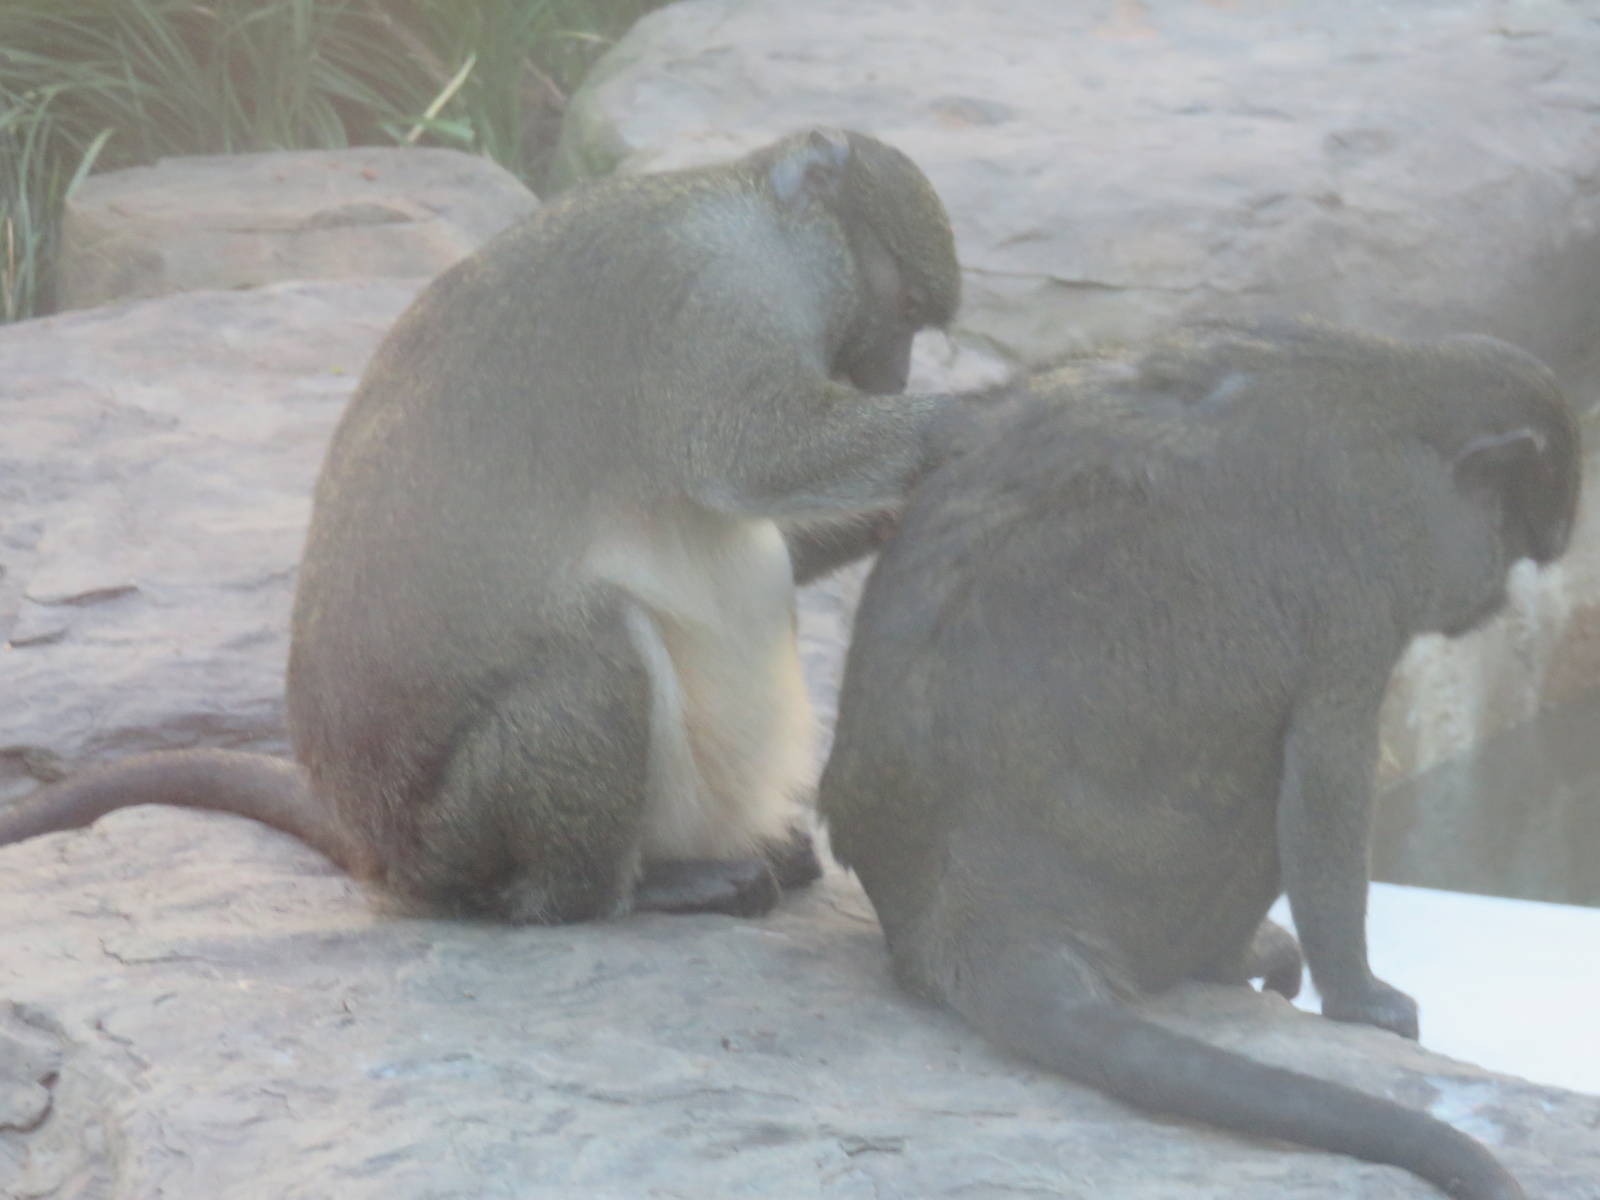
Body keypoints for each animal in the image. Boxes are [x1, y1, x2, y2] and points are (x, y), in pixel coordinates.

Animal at [0, 128, 961, 924]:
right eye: (907, 307)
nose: (895, 375)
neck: (750, 207)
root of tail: (383, 849)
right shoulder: (706, 297)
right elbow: (753, 453)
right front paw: (967, 418)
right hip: (465, 829)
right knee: (591, 664)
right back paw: (614, 890)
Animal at [818, 319, 1579, 1200]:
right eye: (1511, 538)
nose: (1499, 596)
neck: (1385, 395)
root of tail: (972, 911)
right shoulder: (1358, 588)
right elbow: (1326, 775)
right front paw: (1360, 998)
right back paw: (1231, 958)